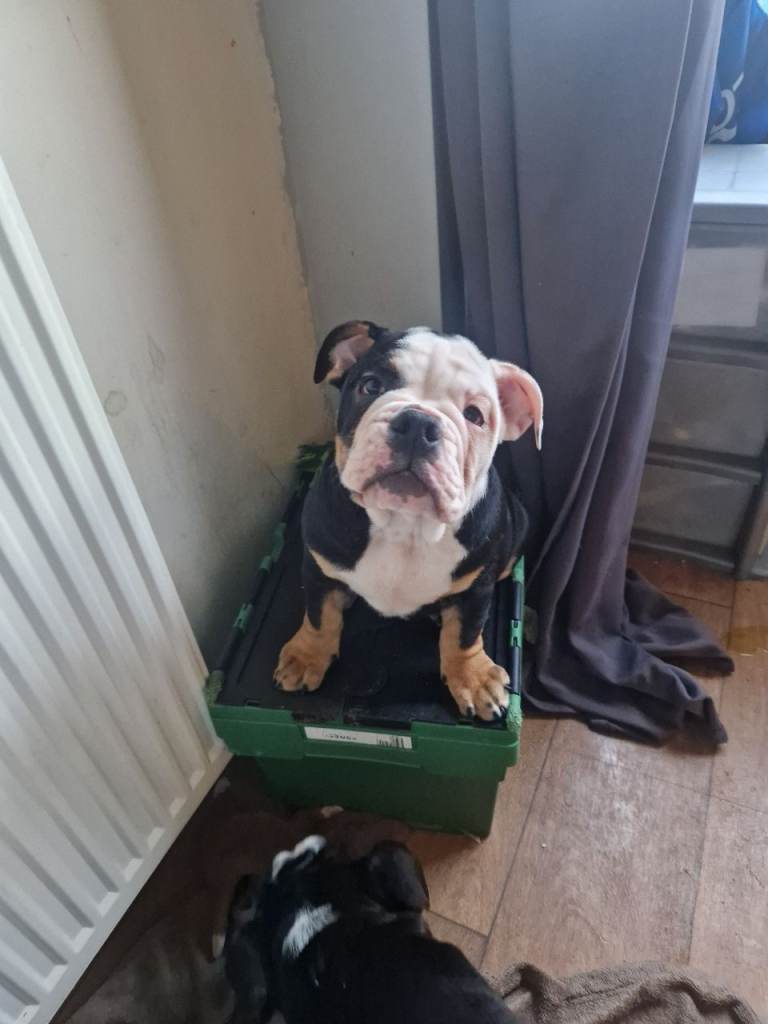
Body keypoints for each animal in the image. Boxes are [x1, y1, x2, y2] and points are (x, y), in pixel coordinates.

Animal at [274, 321, 543, 722]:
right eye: (370, 386)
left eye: (475, 415)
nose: (418, 423)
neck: (402, 524)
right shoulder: (318, 565)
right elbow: (320, 615)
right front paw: (307, 656)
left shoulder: (476, 588)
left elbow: (465, 635)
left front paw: (474, 678)